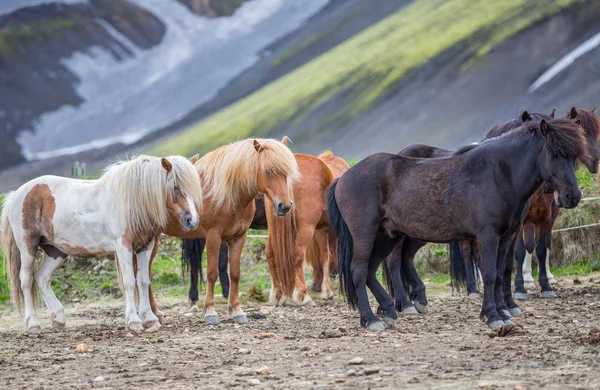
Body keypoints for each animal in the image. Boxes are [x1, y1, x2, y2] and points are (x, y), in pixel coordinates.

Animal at [0, 155, 203, 332]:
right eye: (176, 186)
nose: (192, 221)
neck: (133, 200)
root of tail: (16, 195)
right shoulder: (124, 247)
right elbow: (130, 282)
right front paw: (134, 321)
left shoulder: (145, 246)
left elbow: (144, 280)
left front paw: (150, 318)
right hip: (28, 247)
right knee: (26, 280)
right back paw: (33, 324)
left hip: (55, 251)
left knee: (41, 277)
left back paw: (58, 318)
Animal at [139, 139, 300, 324]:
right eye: (267, 171)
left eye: (287, 172)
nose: (284, 206)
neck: (227, 195)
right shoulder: (213, 237)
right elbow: (212, 273)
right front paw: (210, 311)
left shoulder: (238, 238)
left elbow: (235, 273)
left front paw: (236, 310)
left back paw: (156, 313)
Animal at [266, 145, 350, 306]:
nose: (315, 286)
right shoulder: (329, 230)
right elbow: (329, 255)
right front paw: (327, 291)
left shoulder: (322, 229)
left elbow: (324, 257)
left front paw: (326, 291)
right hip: (305, 229)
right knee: (297, 254)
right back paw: (304, 296)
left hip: (274, 229)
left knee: (270, 253)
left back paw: (278, 294)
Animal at [328, 118, 584, 330]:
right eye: (554, 154)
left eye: (574, 157)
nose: (572, 196)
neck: (499, 173)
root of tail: (344, 178)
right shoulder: (487, 236)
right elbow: (490, 274)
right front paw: (492, 316)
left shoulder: (507, 236)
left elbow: (501, 272)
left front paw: (502, 311)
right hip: (366, 234)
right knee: (360, 271)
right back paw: (371, 319)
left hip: (387, 236)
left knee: (373, 269)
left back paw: (390, 310)